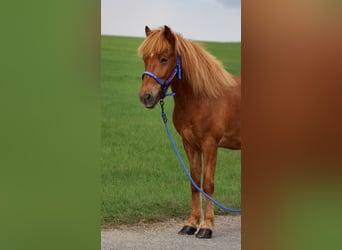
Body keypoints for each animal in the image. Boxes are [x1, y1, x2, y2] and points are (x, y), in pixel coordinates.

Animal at [138, 25, 242, 238]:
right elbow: (194, 182)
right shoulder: (190, 144)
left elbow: (208, 183)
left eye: (164, 58)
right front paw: (191, 224)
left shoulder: (210, 145)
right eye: (145, 58)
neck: (202, 98)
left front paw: (207, 226)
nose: (146, 97)